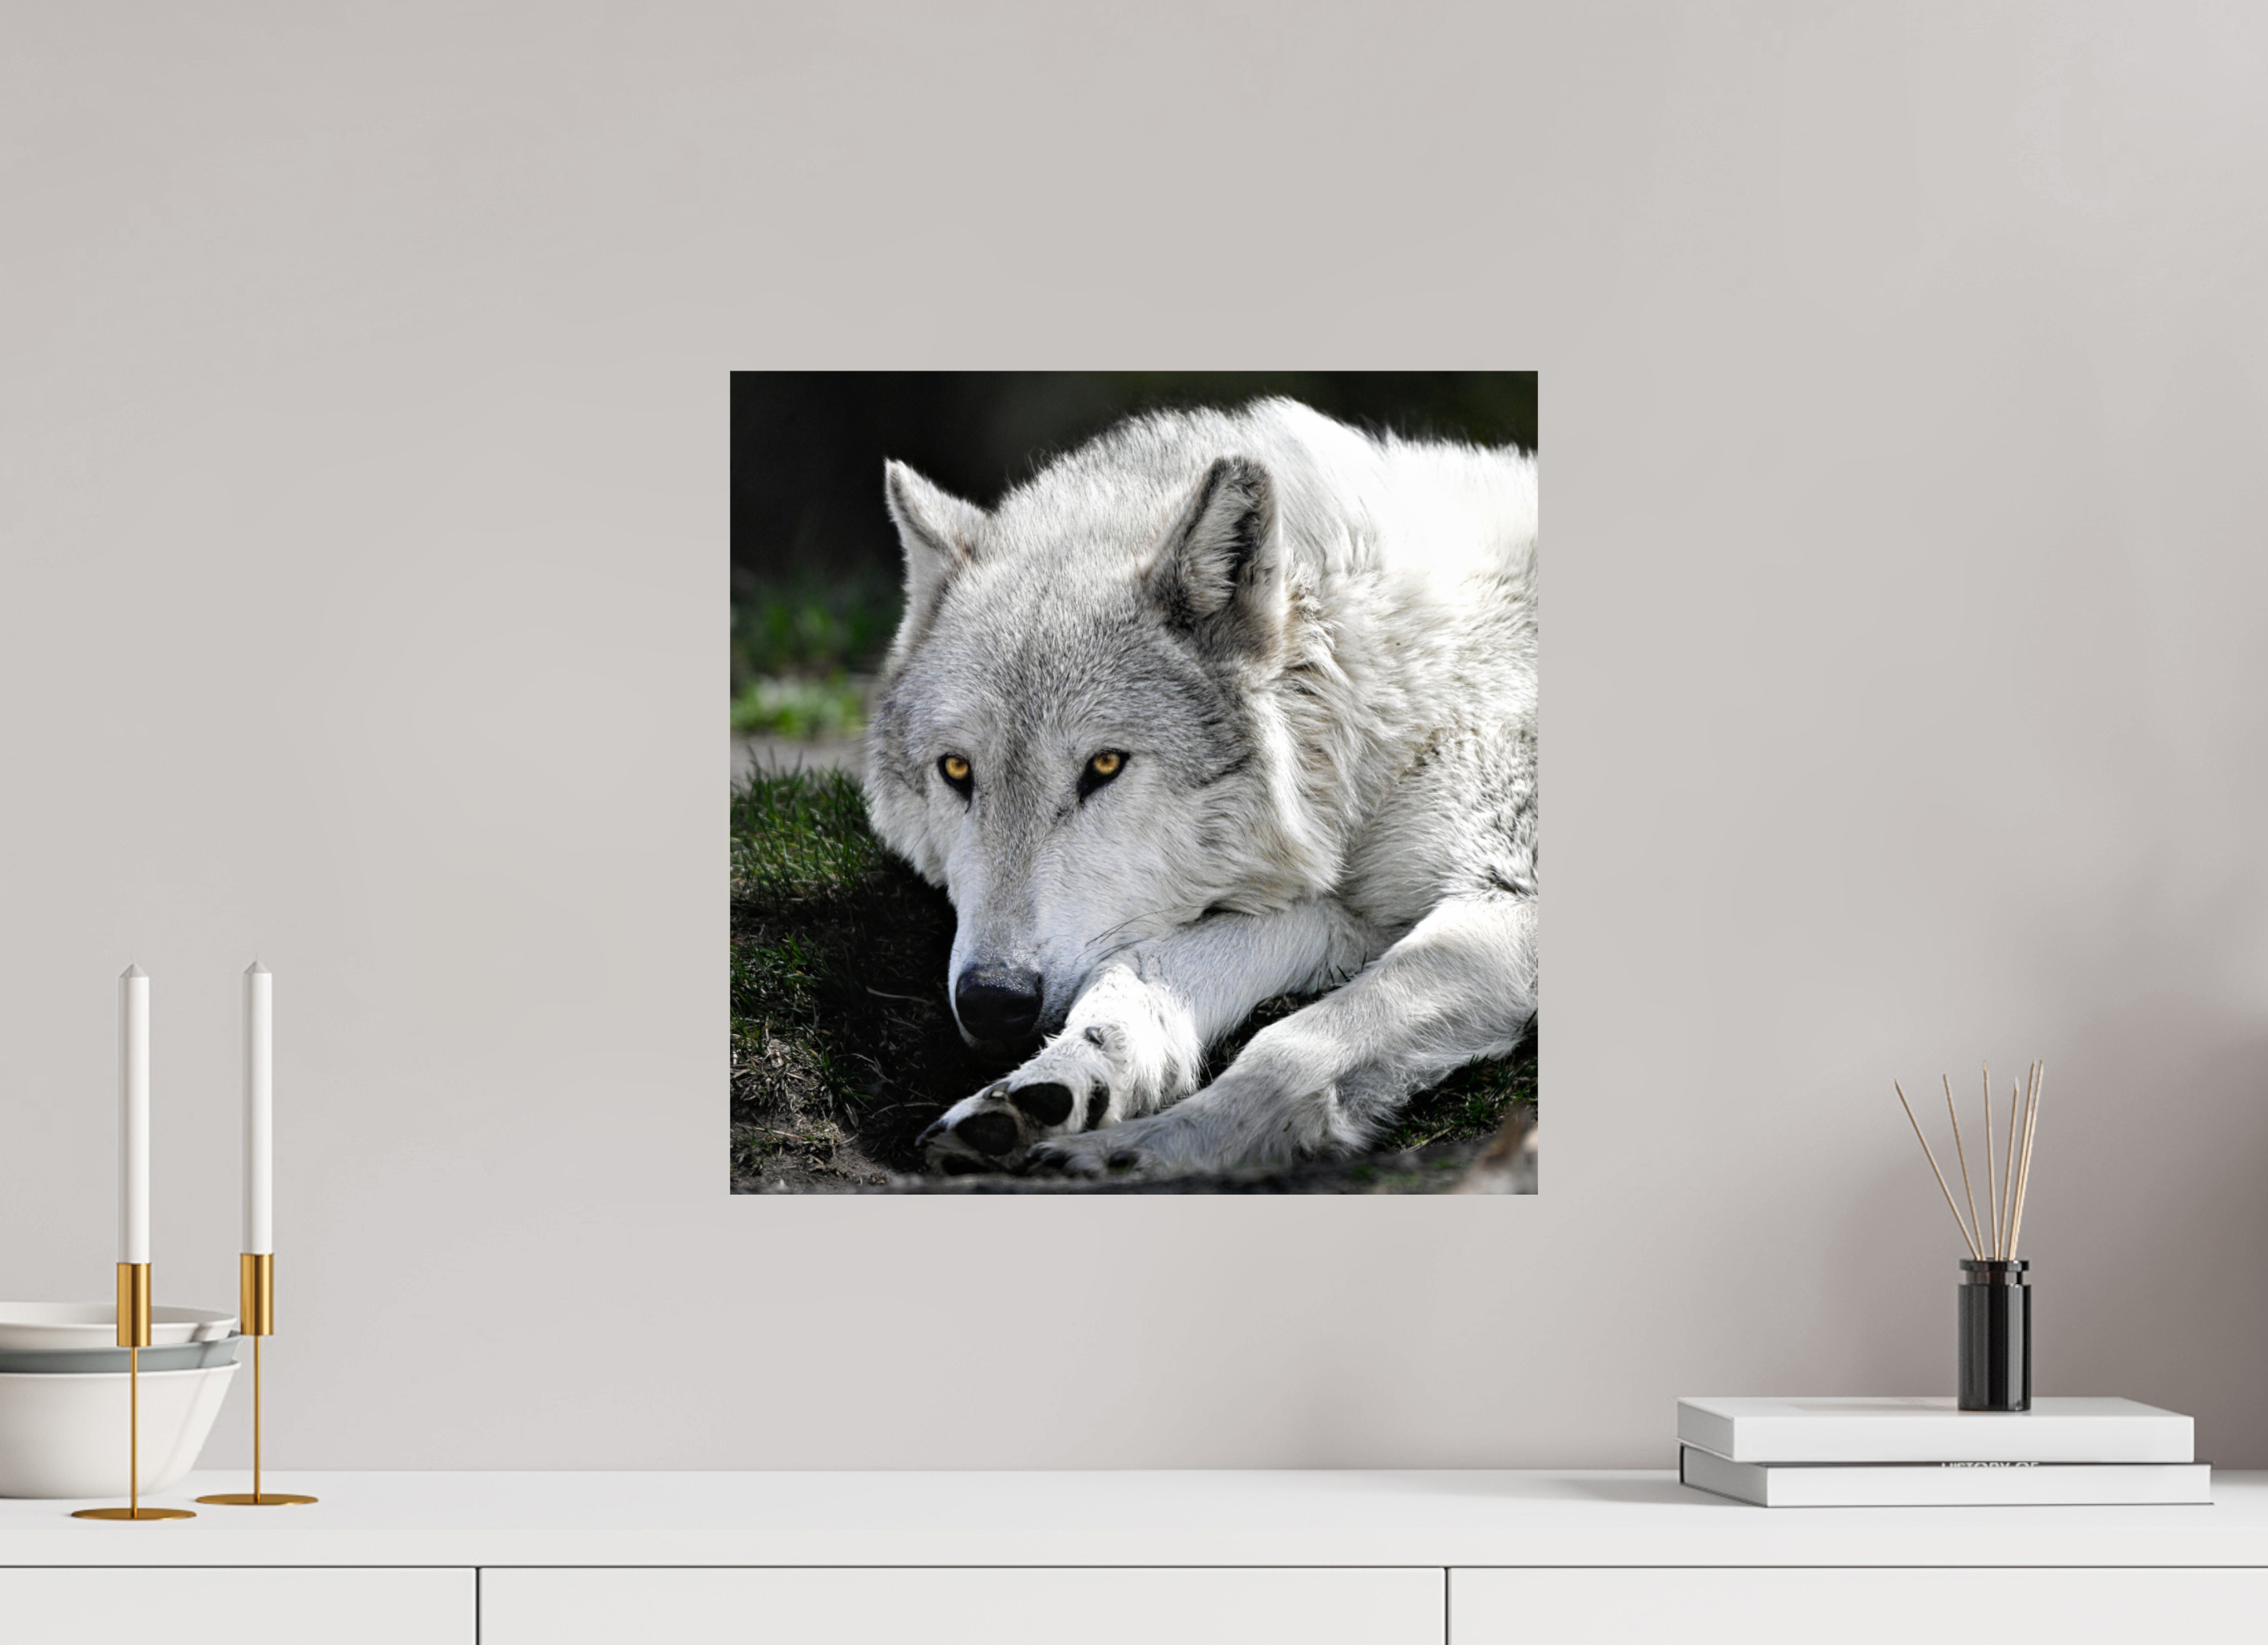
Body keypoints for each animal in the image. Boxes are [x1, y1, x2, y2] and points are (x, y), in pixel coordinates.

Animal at [863, 398, 1536, 1179]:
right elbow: (1134, 969)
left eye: (1105, 766)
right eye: (957, 771)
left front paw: (1143, 1153)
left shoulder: (1509, 900)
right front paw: (1058, 1083)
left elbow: (1294, 1042)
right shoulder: (1349, 915)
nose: (991, 1001)